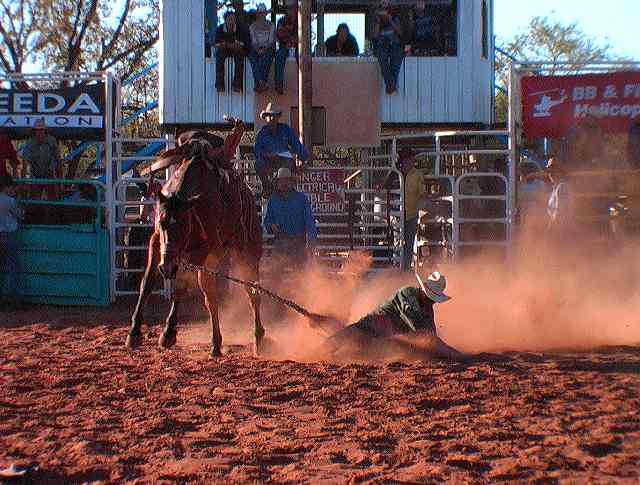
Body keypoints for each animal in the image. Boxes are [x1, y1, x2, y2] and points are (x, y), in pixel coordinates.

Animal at [125, 118, 264, 356]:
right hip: (215, 258)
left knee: (251, 290)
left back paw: (258, 337)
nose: (167, 267)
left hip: (245, 250)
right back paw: (216, 343)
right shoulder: (156, 241)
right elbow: (147, 282)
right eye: (163, 223)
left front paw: (168, 333)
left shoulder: (201, 250)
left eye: (183, 226)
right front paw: (134, 332)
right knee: (211, 295)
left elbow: (180, 286)